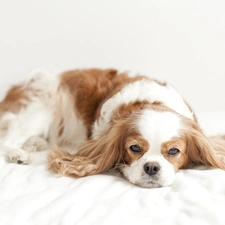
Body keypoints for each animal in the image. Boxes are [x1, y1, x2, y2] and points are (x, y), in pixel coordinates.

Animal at [0, 68, 225, 188]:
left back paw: (35, 144)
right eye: (134, 148)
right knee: (8, 138)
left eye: (173, 151)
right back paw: (18, 153)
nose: (151, 167)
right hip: (39, 111)